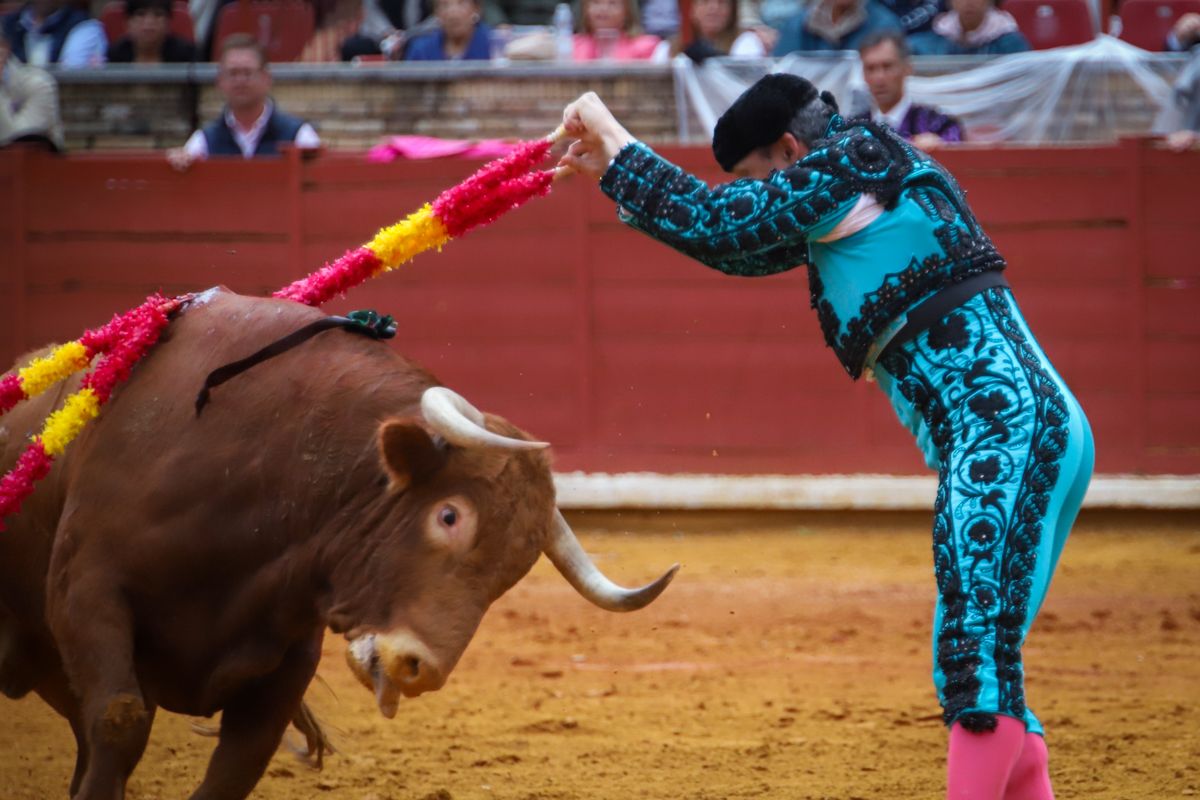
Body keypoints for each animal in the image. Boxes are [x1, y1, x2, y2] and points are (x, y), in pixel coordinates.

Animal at [0, 291, 676, 800]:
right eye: (448, 516)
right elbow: (119, 721)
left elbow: (237, 763)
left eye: (513, 571)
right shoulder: (88, 593)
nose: (417, 668)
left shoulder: (287, 657)